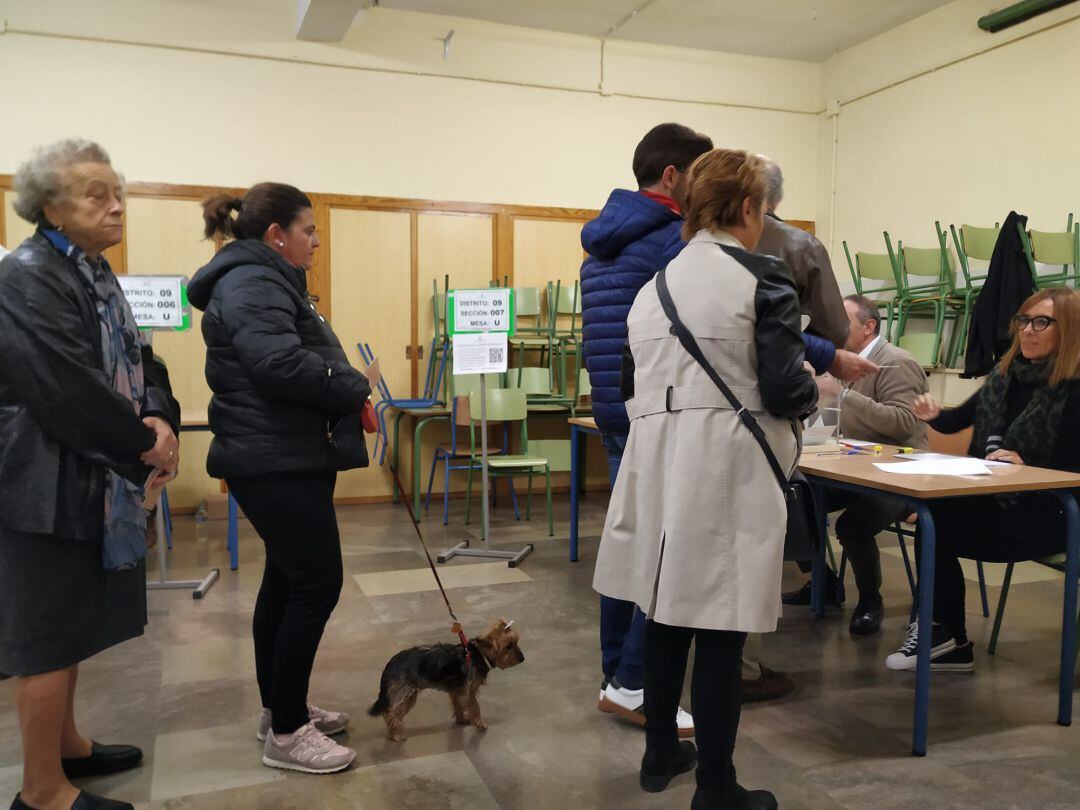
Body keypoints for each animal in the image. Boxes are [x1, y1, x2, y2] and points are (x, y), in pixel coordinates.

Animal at [367, 622, 527, 743]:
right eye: (509, 646)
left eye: (516, 642)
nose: (522, 658)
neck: (479, 654)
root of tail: (390, 664)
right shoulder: (469, 690)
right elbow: (475, 707)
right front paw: (480, 724)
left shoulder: (457, 690)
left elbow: (458, 705)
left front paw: (462, 719)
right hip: (407, 694)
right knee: (391, 713)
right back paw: (396, 736)